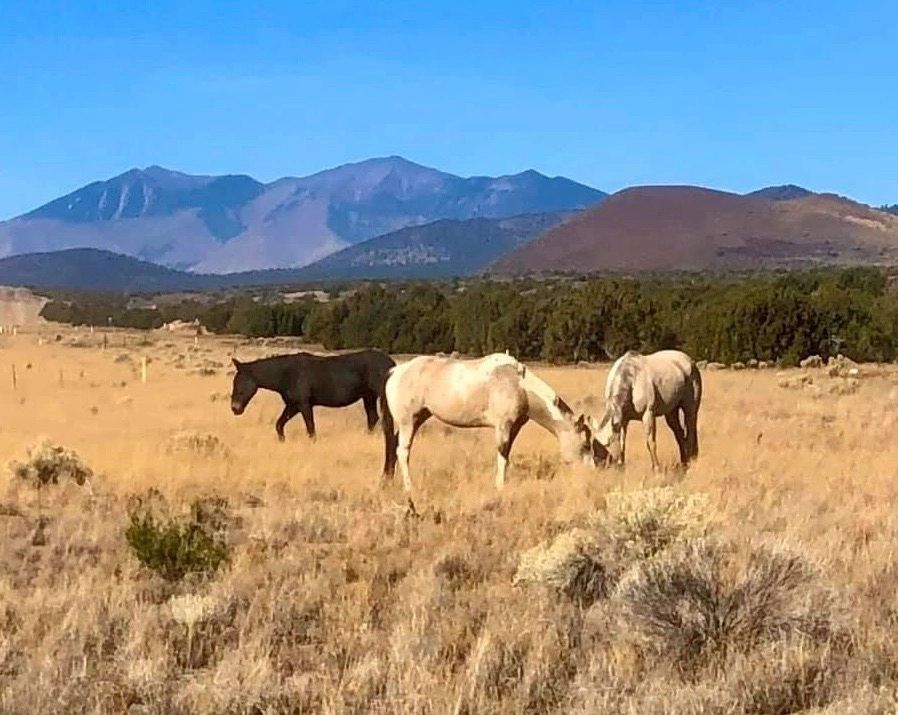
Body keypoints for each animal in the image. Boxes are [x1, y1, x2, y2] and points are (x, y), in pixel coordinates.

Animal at [230, 349, 396, 446]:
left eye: (239, 383)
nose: (235, 409)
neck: (286, 374)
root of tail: (392, 363)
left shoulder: (304, 404)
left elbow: (310, 428)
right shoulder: (293, 405)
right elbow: (279, 424)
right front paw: (282, 442)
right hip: (368, 396)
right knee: (372, 418)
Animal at [381, 353, 604, 491]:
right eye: (585, 445)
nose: (592, 474)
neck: (520, 386)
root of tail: (395, 372)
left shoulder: (514, 427)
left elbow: (507, 455)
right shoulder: (503, 426)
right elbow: (502, 454)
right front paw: (500, 486)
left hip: (416, 419)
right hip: (408, 422)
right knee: (403, 452)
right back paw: (409, 487)